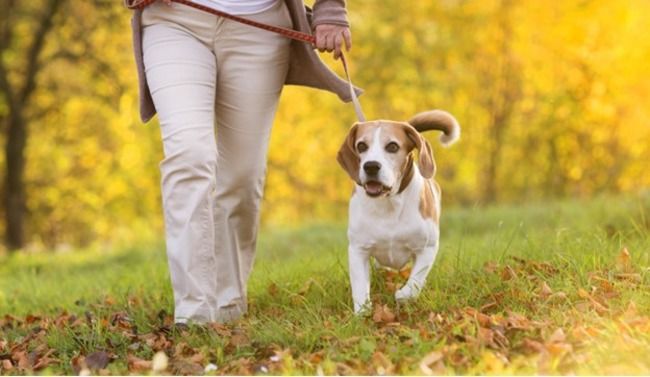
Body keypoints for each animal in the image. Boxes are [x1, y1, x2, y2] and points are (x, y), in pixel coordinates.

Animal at [336, 109, 458, 312]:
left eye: (392, 146)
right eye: (361, 146)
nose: (371, 166)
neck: (389, 203)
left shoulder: (427, 248)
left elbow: (416, 280)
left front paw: (403, 295)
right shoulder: (358, 249)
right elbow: (360, 287)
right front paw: (362, 312)